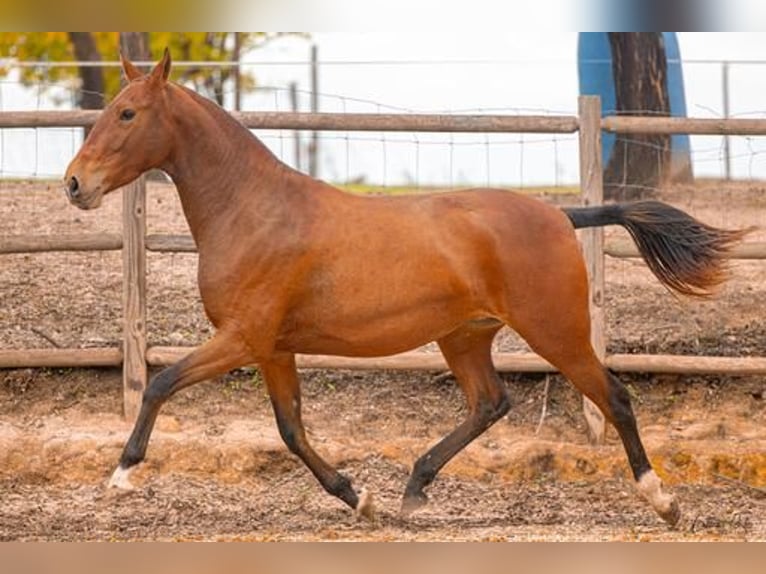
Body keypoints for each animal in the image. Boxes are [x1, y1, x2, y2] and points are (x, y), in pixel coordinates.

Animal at [67, 51, 752, 528]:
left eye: (127, 113)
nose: (75, 184)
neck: (254, 209)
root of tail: (560, 215)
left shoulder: (241, 338)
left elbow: (159, 382)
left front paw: (120, 475)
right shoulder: (274, 348)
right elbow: (291, 429)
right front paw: (359, 498)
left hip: (555, 331)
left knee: (614, 397)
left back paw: (664, 502)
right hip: (464, 337)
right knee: (490, 403)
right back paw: (413, 488)